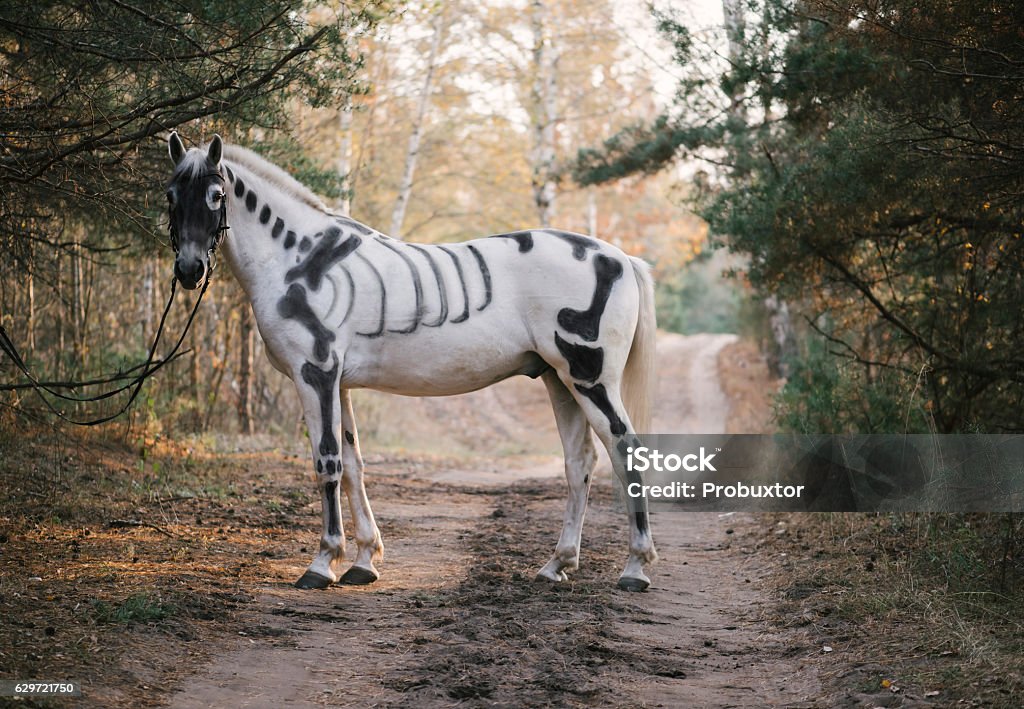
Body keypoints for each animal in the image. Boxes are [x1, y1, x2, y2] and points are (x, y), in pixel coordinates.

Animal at [161, 134, 655, 594]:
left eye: (217, 195)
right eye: (170, 194)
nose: (189, 270)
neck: (301, 260)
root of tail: (619, 257)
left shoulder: (315, 373)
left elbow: (327, 463)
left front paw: (323, 563)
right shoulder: (339, 384)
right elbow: (353, 465)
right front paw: (364, 560)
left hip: (590, 378)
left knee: (624, 449)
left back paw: (635, 568)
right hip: (559, 380)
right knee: (579, 461)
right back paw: (557, 564)